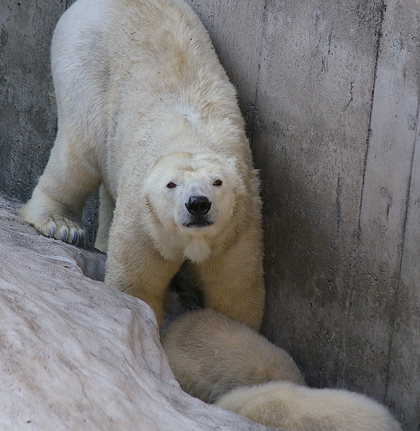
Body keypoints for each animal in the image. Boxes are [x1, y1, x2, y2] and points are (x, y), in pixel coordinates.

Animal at [19, 0, 264, 328]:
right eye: (171, 184)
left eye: (218, 182)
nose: (197, 204)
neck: (194, 138)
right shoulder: (144, 221)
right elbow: (136, 284)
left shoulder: (239, 225)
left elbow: (235, 293)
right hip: (83, 66)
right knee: (80, 153)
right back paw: (62, 225)